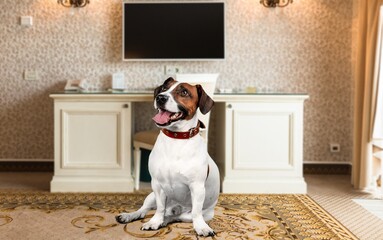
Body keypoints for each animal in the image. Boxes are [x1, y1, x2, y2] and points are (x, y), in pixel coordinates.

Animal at [115, 77, 220, 236]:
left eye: (184, 92)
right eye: (164, 87)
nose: (160, 97)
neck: (176, 138)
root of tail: (175, 207)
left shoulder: (197, 187)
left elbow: (196, 213)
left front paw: (202, 227)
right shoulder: (157, 184)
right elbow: (159, 208)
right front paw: (154, 222)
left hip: (197, 213)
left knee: (178, 216)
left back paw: (167, 219)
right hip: (151, 196)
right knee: (144, 210)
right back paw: (129, 215)